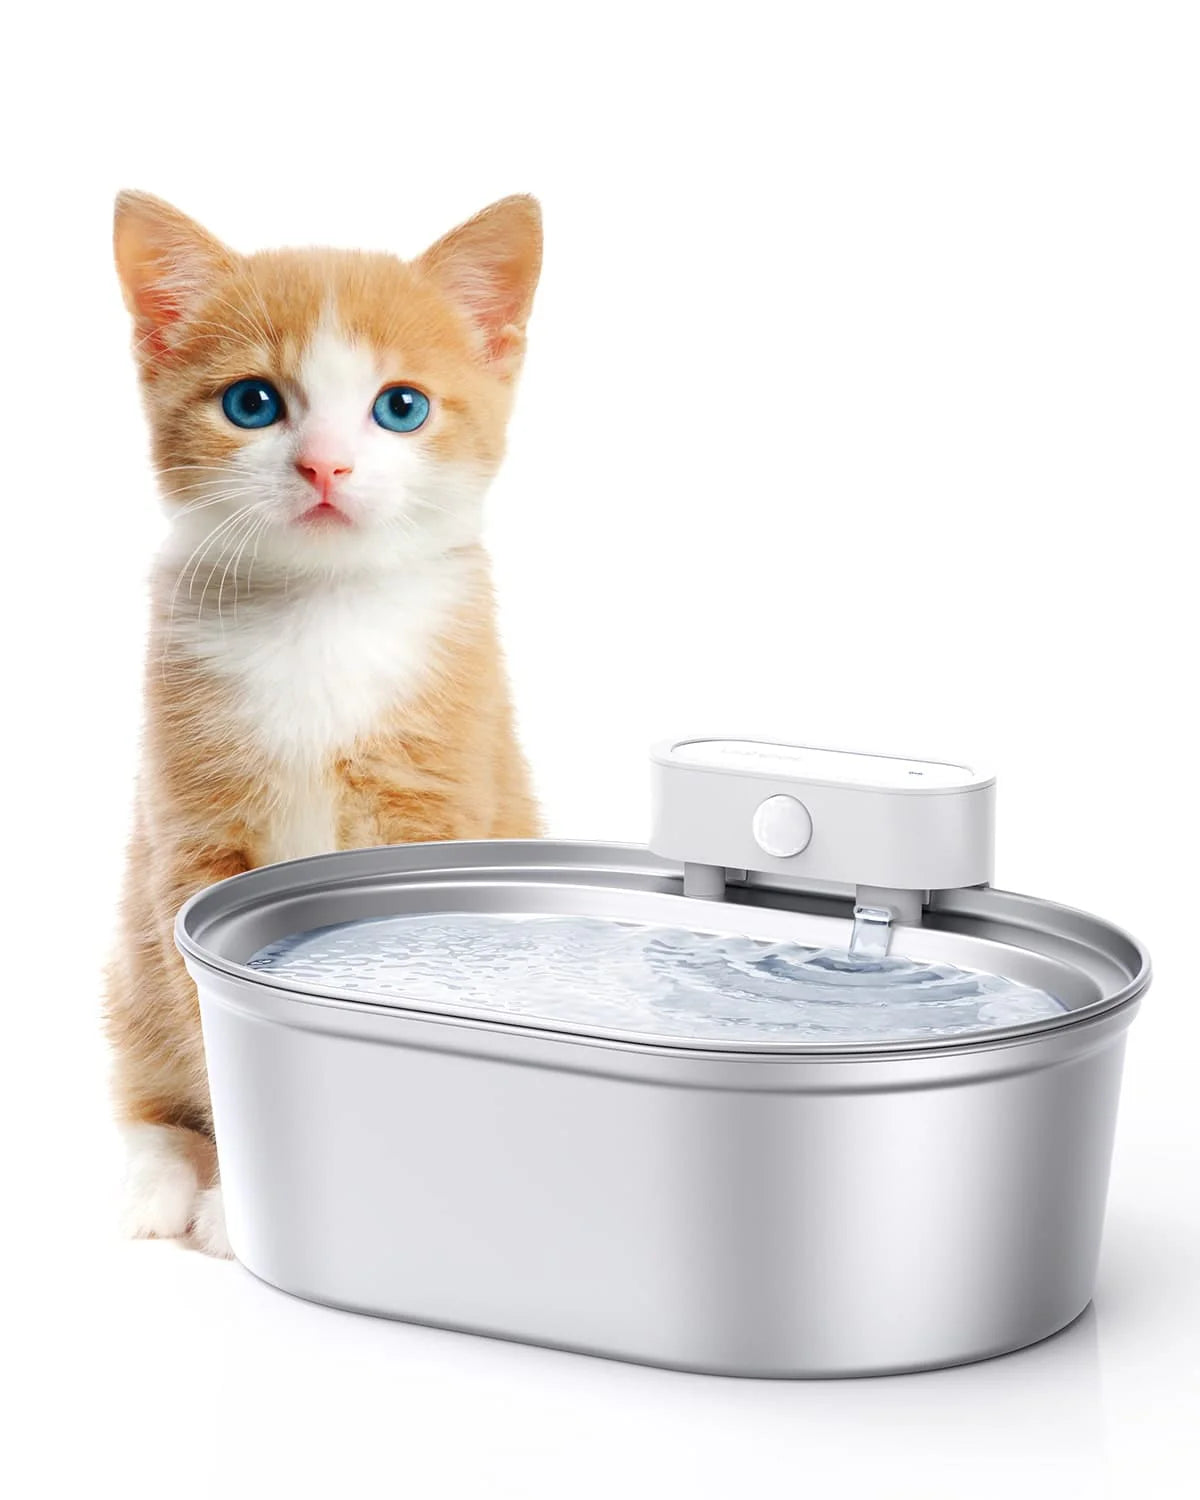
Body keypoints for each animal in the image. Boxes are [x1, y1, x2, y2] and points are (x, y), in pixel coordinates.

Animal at [110, 193, 540, 1260]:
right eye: (252, 404)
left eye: (401, 408)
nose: (324, 465)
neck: (319, 618)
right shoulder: (188, 839)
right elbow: (209, 1029)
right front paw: (242, 1204)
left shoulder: (431, 803)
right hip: (125, 963)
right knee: (146, 1089)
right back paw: (156, 1181)